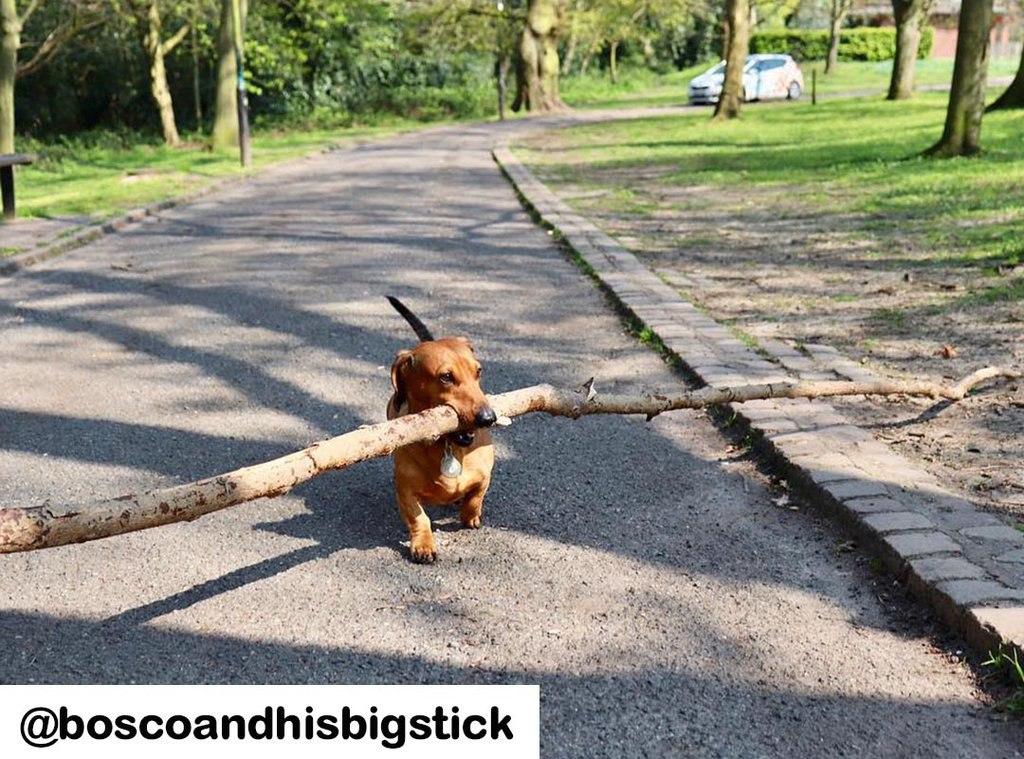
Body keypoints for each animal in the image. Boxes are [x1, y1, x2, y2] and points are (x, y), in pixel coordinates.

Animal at [385, 297, 495, 561]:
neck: (448, 445)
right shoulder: (404, 490)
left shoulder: (486, 473)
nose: (489, 418)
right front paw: (423, 544)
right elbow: (419, 518)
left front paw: (470, 515)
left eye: (478, 371)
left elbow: (476, 496)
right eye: (446, 377)